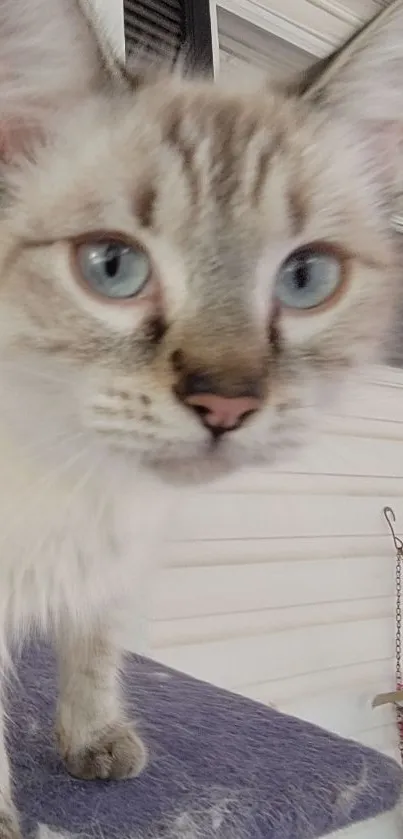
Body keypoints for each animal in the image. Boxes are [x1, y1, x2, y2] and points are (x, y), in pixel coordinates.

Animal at [0, 0, 400, 836]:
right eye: (111, 267)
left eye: (305, 278)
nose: (228, 401)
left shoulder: (115, 552)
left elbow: (95, 644)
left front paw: (93, 738)